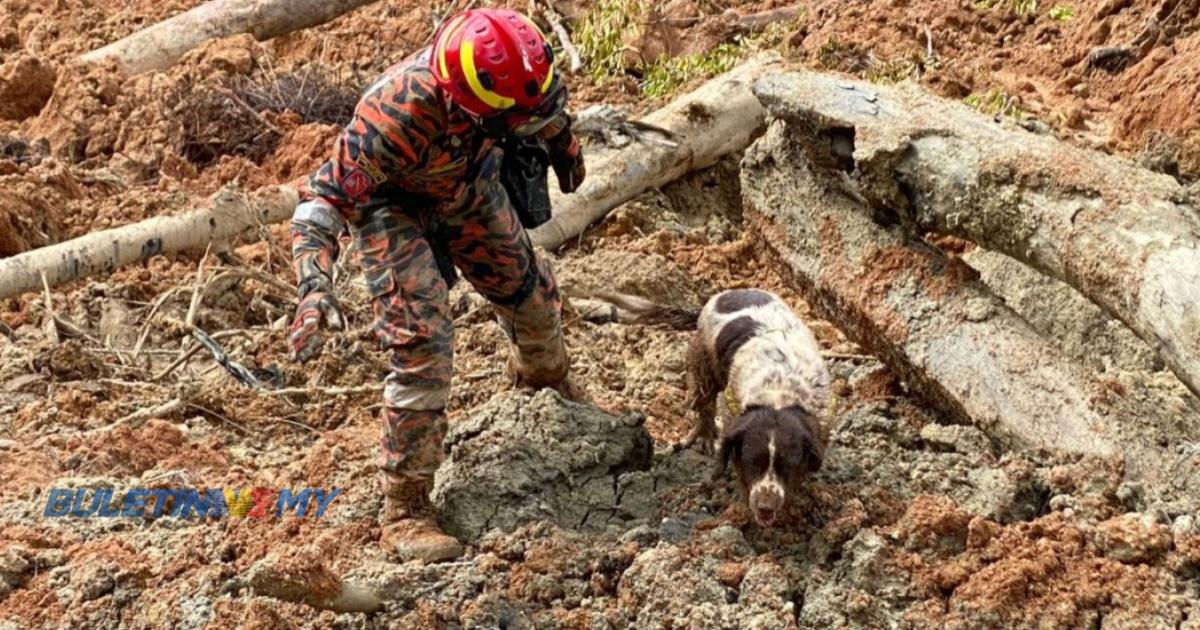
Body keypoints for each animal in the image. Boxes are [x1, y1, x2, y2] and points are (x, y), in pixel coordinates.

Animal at [595, 289, 830, 525]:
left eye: (788, 465)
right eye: (753, 462)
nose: (765, 508)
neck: (778, 394)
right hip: (704, 365)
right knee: (705, 405)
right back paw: (703, 436)